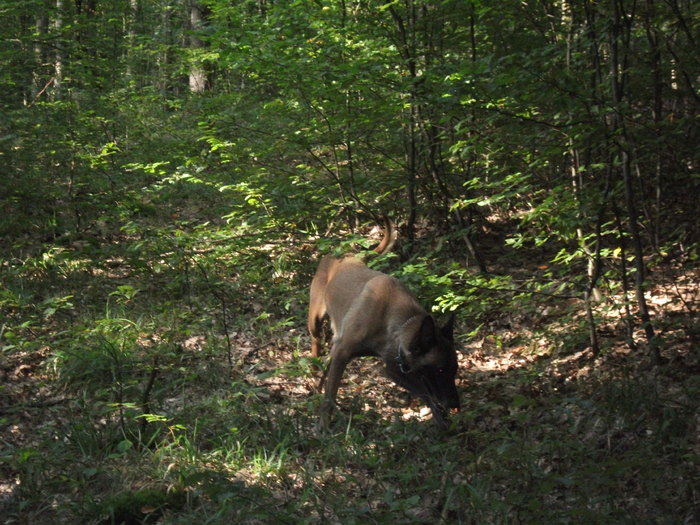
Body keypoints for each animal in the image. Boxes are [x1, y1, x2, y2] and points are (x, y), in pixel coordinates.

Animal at [306, 219, 460, 428]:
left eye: (455, 369)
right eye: (440, 369)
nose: (455, 404)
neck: (400, 323)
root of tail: (345, 252)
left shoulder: (395, 368)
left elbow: (426, 394)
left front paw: (444, 424)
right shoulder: (343, 353)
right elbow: (330, 397)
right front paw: (322, 426)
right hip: (315, 321)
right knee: (316, 343)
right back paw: (313, 372)